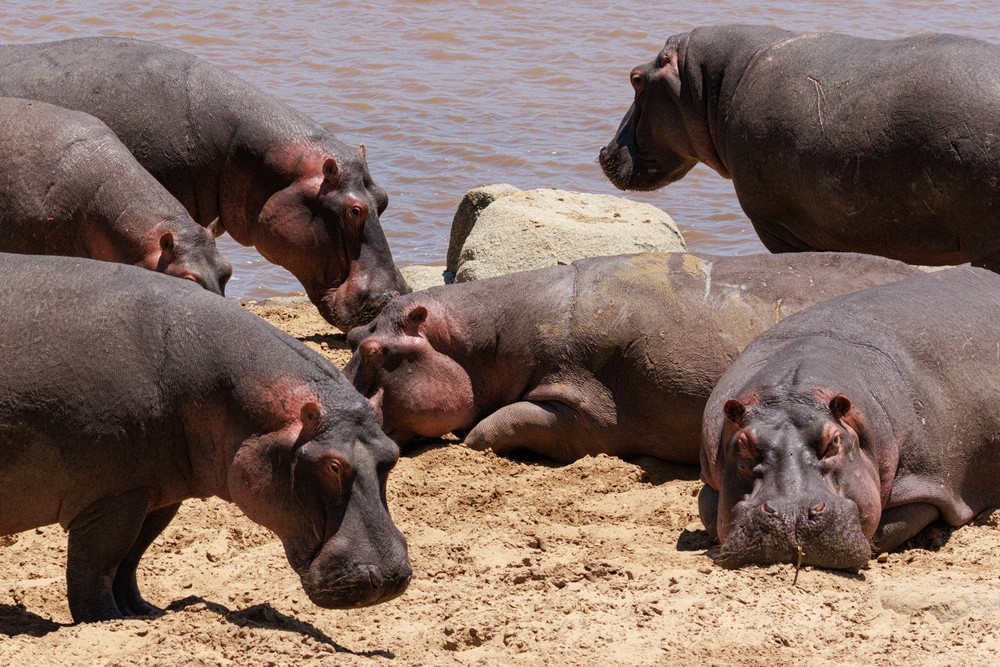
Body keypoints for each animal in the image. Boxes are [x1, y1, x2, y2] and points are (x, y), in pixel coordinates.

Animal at [0, 253, 410, 623]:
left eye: (392, 454)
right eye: (332, 465)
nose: (391, 577)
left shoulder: (159, 492)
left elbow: (130, 560)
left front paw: (142, 613)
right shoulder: (112, 497)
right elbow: (97, 570)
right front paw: (104, 621)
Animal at [700, 266, 1000, 570]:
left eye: (833, 442)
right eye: (744, 445)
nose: (792, 512)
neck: (791, 393)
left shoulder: (923, 483)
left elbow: (885, 529)